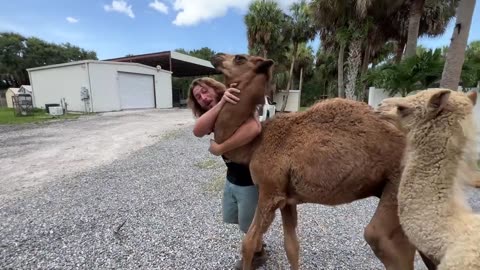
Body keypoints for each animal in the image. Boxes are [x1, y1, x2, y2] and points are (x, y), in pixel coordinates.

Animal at [210, 52, 436, 270]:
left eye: (240, 58)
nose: (216, 56)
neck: (255, 143)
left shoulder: (269, 191)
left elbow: (248, 243)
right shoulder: (287, 198)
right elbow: (292, 247)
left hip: (400, 187)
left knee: (382, 239)